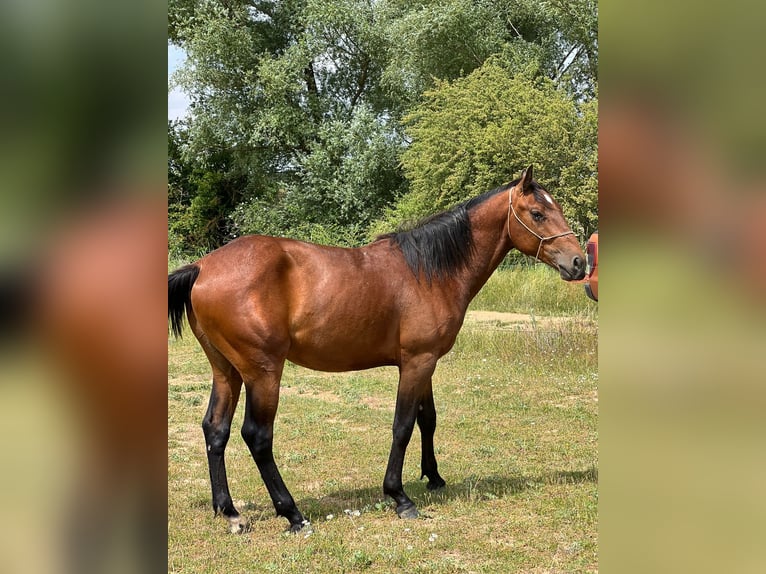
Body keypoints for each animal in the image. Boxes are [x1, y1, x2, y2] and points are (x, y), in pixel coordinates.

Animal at [168, 165, 585, 533]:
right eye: (537, 213)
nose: (579, 262)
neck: (429, 271)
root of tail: (202, 267)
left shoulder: (425, 363)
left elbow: (427, 419)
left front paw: (434, 477)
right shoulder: (417, 363)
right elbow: (402, 426)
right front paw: (399, 497)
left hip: (227, 371)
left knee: (215, 430)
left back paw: (229, 512)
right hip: (262, 372)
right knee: (257, 436)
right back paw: (293, 514)